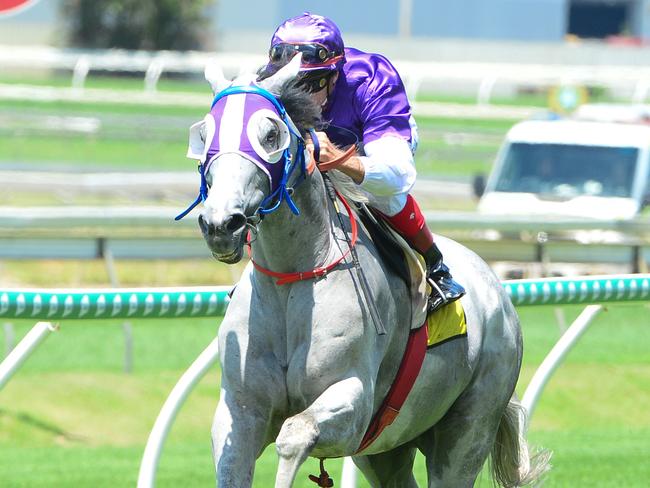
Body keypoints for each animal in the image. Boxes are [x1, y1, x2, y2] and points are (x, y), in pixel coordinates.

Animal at [187, 59, 548, 486]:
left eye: (270, 134)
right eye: (205, 133)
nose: (220, 224)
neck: (291, 281)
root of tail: (497, 291)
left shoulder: (354, 403)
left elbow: (294, 434)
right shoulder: (240, 411)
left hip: (469, 427)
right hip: (387, 448)